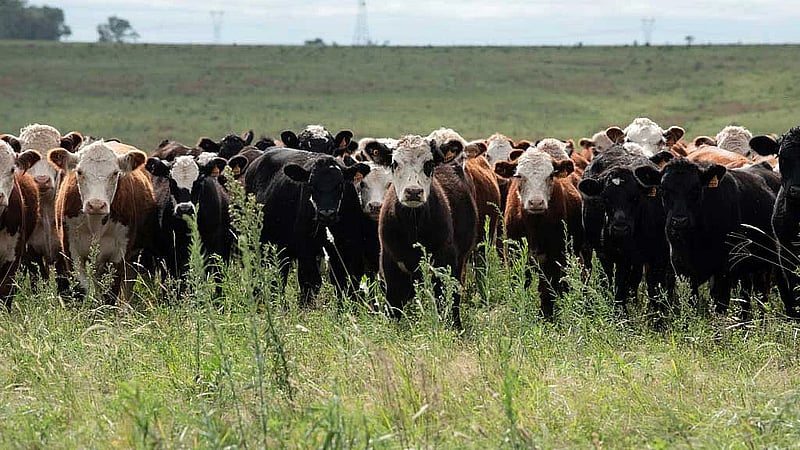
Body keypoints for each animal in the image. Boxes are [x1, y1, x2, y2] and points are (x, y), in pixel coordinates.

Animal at [49, 140, 157, 304]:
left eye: (115, 173)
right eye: (79, 172)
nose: (96, 204)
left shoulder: (119, 254)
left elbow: (110, 293)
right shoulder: (71, 250)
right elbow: (81, 289)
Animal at [244, 147, 369, 305]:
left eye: (340, 185)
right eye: (311, 185)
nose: (326, 214)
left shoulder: (346, 250)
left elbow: (343, 284)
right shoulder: (306, 250)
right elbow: (310, 283)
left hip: (281, 249)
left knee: (279, 276)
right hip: (256, 244)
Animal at [379, 134, 477, 329]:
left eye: (429, 163)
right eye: (394, 163)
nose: (413, 192)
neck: (413, 228)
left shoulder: (446, 264)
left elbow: (447, 303)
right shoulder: (391, 266)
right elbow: (393, 308)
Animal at [493, 148, 585, 320]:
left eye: (550, 175)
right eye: (519, 175)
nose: (536, 202)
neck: (534, 226)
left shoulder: (554, 259)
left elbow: (547, 291)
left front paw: (547, 318)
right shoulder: (514, 257)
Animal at [634, 158, 783, 320]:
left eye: (696, 189)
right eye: (663, 190)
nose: (679, 220)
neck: (695, 240)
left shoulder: (723, 270)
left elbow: (720, 305)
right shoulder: (682, 268)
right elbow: (691, 302)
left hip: (765, 265)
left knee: (761, 295)